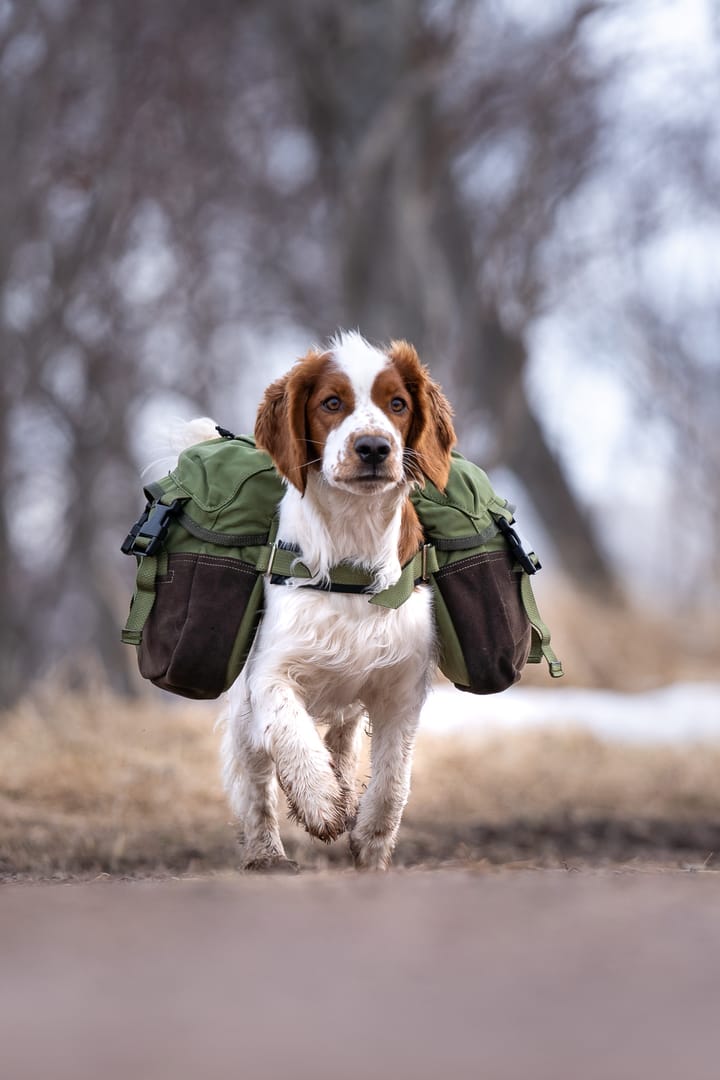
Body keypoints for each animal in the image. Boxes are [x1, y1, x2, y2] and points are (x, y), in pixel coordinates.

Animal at [220, 328, 455, 868]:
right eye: (331, 403)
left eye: (397, 404)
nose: (373, 448)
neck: (353, 542)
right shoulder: (269, 672)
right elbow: (290, 731)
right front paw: (319, 802)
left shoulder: (401, 688)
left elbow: (392, 780)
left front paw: (369, 841)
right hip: (244, 712)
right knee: (255, 782)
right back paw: (267, 856)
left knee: (345, 739)